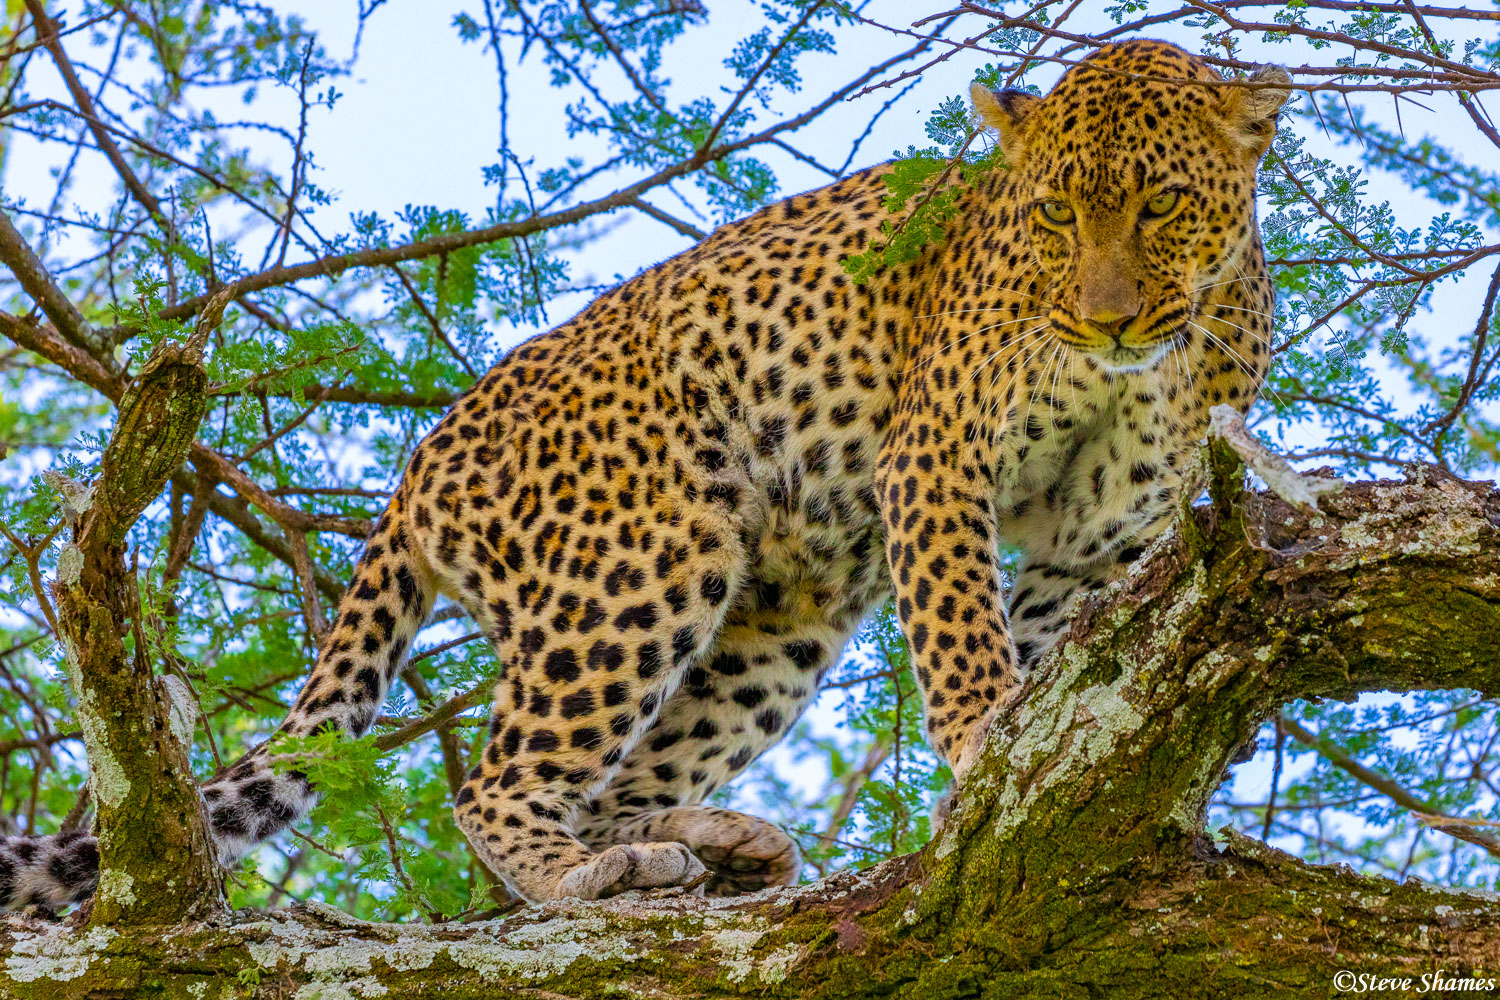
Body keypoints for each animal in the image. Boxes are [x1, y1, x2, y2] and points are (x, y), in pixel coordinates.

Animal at [2, 39, 1290, 911]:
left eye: (1161, 203)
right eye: (1055, 214)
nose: (1104, 316)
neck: (1150, 355)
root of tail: (422, 458)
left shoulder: (1098, 542)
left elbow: (1054, 649)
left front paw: (1020, 759)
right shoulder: (935, 456)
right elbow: (965, 632)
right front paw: (986, 744)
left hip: (780, 613)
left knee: (614, 777)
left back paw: (705, 844)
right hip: (650, 555)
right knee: (501, 781)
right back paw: (584, 874)